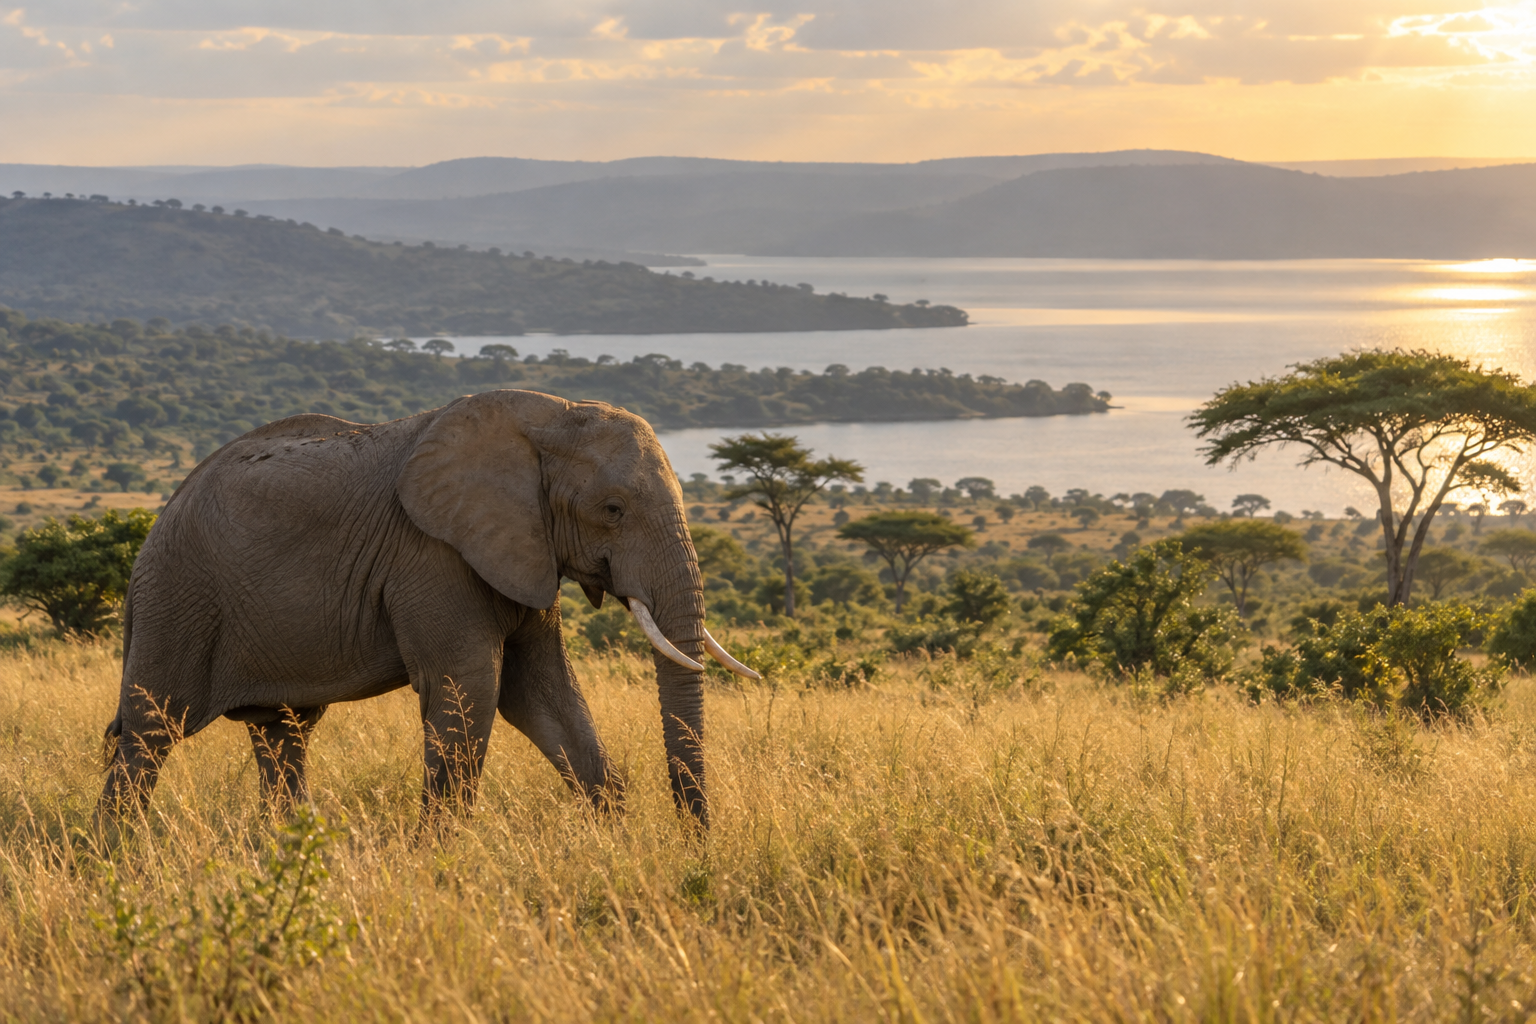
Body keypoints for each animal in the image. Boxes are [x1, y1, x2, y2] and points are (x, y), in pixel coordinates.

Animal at [98, 389, 759, 828]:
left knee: (283, 733)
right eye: (614, 510)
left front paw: (613, 834)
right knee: (150, 733)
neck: (547, 417)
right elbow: (472, 688)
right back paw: (120, 858)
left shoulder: (521, 548)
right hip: (178, 595)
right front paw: (441, 860)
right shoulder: (432, 555)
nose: (694, 843)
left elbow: (544, 693)